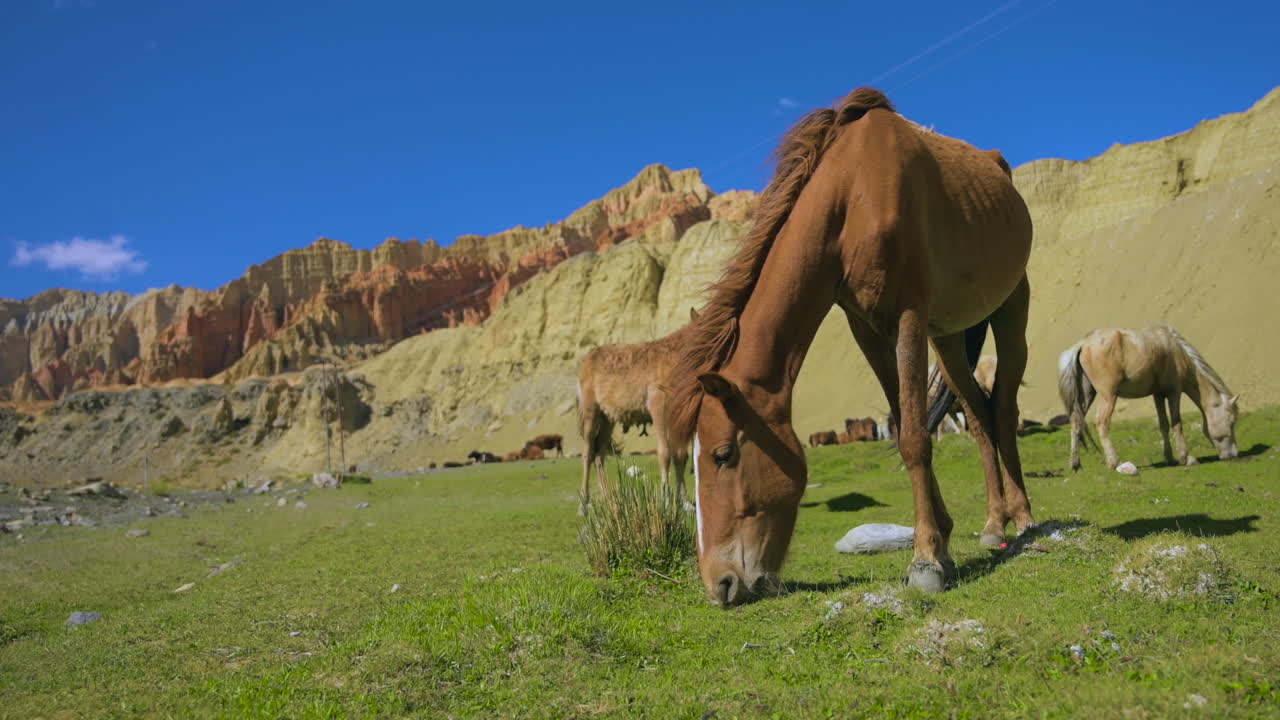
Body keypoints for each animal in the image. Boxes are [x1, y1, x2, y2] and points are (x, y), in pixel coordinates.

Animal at [577, 313, 698, 515]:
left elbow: (681, 455)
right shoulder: (658, 404)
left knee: (599, 454)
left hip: (608, 418)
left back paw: (609, 500)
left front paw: (686, 502)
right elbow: (665, 452)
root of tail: (588, 357)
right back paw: (583, 504)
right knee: (587, 452)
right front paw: (667, 501)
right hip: (591, 410)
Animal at [663, 88, 1034, 605]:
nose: (720, 584)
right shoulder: (867, 328)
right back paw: (994, 522)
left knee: (1001, 409)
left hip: (1011, 306)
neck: (854, 196)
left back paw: (1023, 519)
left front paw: (926, 560)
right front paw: (941, 540)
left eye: (723, 455)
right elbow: (902, 422)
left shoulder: (907, 315)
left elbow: (915, 438)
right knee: (978, 415)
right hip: (949, 338)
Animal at [1058, 324, 1239, 471]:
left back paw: (1075, 464)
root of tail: (1083, 343)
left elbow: (1164, 424)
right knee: (1102, 423)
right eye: (1231, 422)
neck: (1177, 352)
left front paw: (1170, 457)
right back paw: (1114, 462)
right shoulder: (1174, 392)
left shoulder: (1158, 395)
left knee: (1075, 422)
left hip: (1087, 396)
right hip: (1108, 396)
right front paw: (1186, 458)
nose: (1234, 454)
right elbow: (1177, 423)